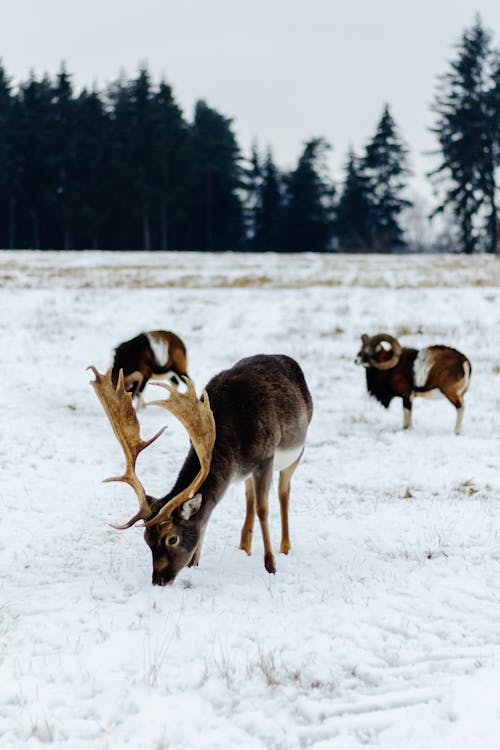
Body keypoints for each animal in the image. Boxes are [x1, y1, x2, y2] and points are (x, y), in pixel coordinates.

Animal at [88, 356, 310, 588]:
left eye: (172, 539)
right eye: (147, 539)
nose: (159, 580)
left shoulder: (265, 458)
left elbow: (263, 510)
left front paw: (271, 566)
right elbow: (208, 515)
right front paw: (193, 563)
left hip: (297, 452)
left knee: (284, 492)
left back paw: (285, 547)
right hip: (252, 474)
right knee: (249, 495)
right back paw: (244, 546)